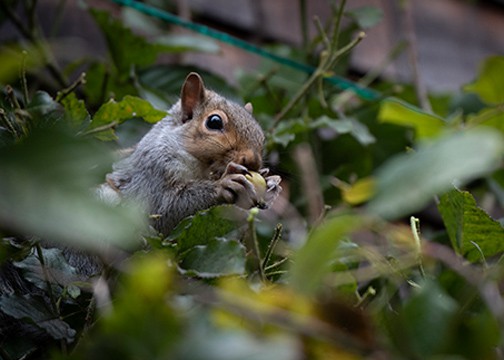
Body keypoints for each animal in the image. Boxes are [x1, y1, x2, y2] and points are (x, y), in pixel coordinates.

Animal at [97, 71, 280, 235]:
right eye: (214, 122)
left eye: (261, 135)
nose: (253, 161)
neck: (202, 168)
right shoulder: (152, 170)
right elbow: (162, 208)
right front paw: (224, 184)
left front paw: (271, 182)